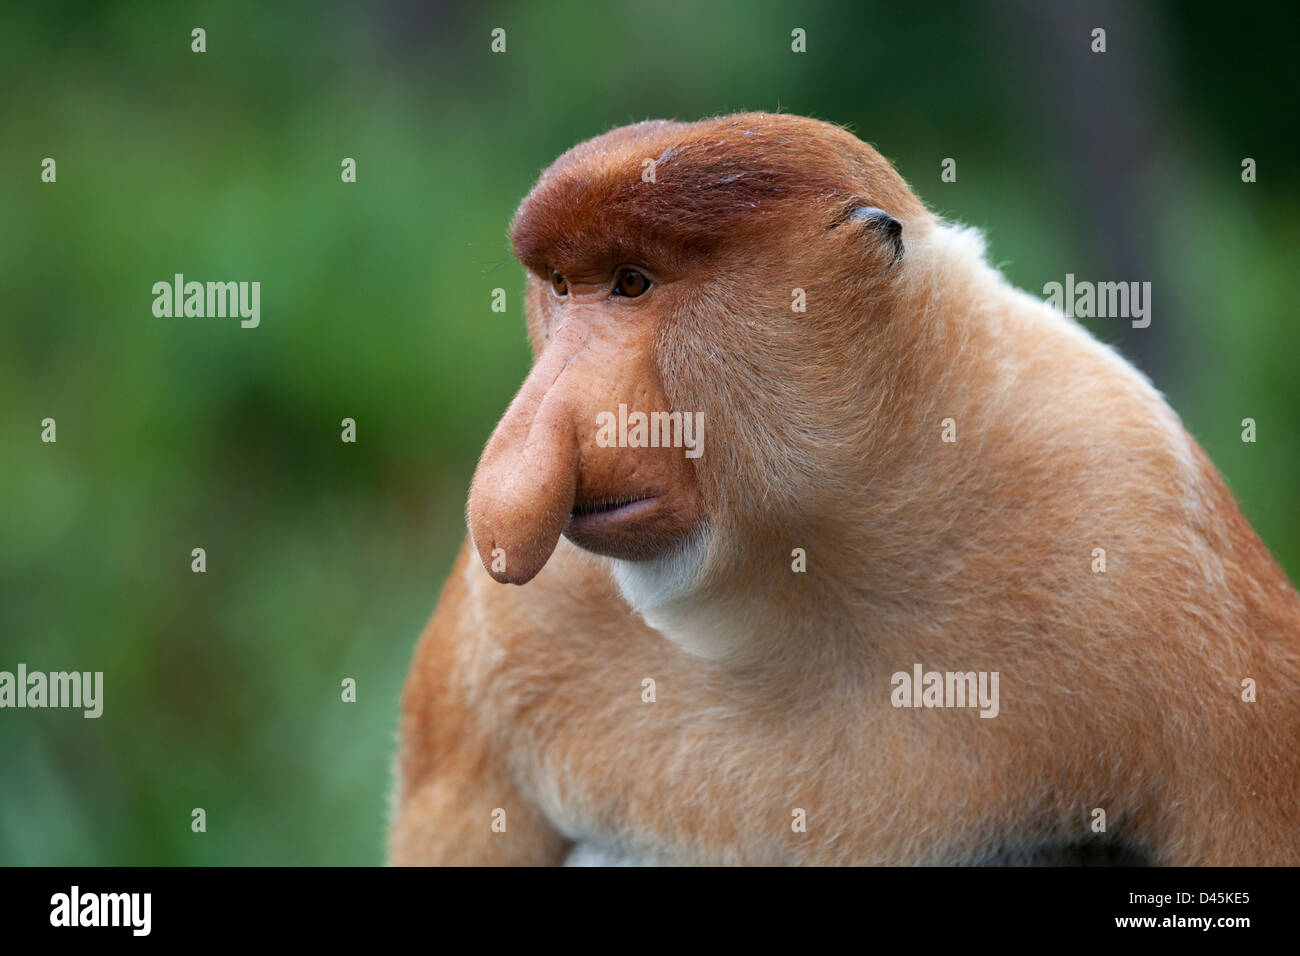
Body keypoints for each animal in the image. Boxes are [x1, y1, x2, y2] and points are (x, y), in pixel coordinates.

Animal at [389, 112, 1300, 866]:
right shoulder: (507, 625)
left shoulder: (1132, 504)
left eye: (631, 283)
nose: (532, 436)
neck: (804, 562)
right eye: (560, 286)